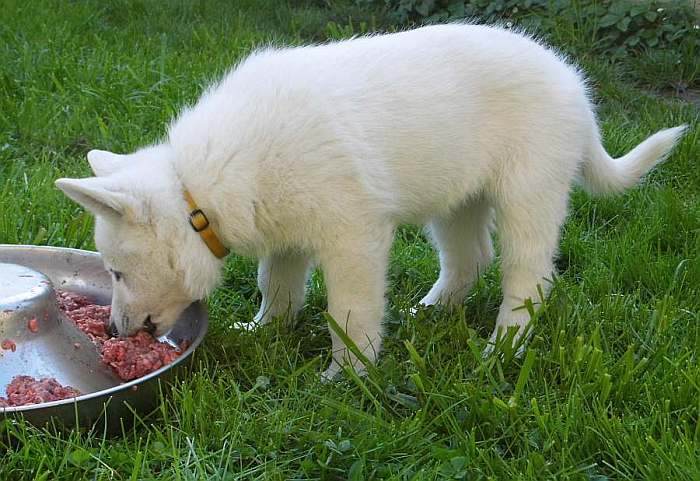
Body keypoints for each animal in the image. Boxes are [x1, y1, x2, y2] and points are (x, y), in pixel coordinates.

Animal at [54, 23, 684, 378]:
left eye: (115, 272)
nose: (112, 333)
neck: (201, 185)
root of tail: (575, 87)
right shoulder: (286, 231)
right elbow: (277, 284)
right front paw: (265, 330)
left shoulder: (353, 237)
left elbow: (351, 314)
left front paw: (346, 376)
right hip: (456, 198)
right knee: (469, 258)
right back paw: (432, 311)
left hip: (528, 192)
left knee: (528, 277)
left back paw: (503, 348)